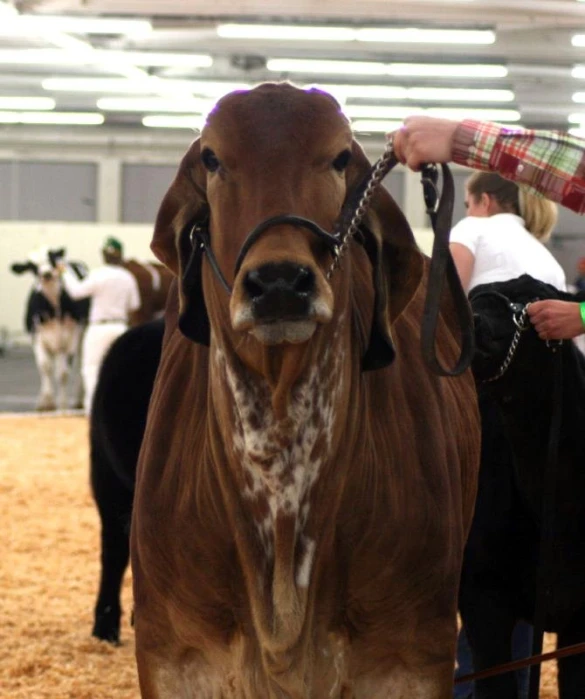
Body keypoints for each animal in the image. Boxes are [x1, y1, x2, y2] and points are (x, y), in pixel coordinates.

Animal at [11, 246, 89, 410]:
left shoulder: (70, 339)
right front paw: (47, 402)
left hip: (81, 336)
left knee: (80, 365)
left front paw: (63, 405)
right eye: (32, 266)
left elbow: (63, 373)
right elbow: (45, 367)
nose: (46, 274)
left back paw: (79, 400)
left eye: (51, 258)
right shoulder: (37, 337)